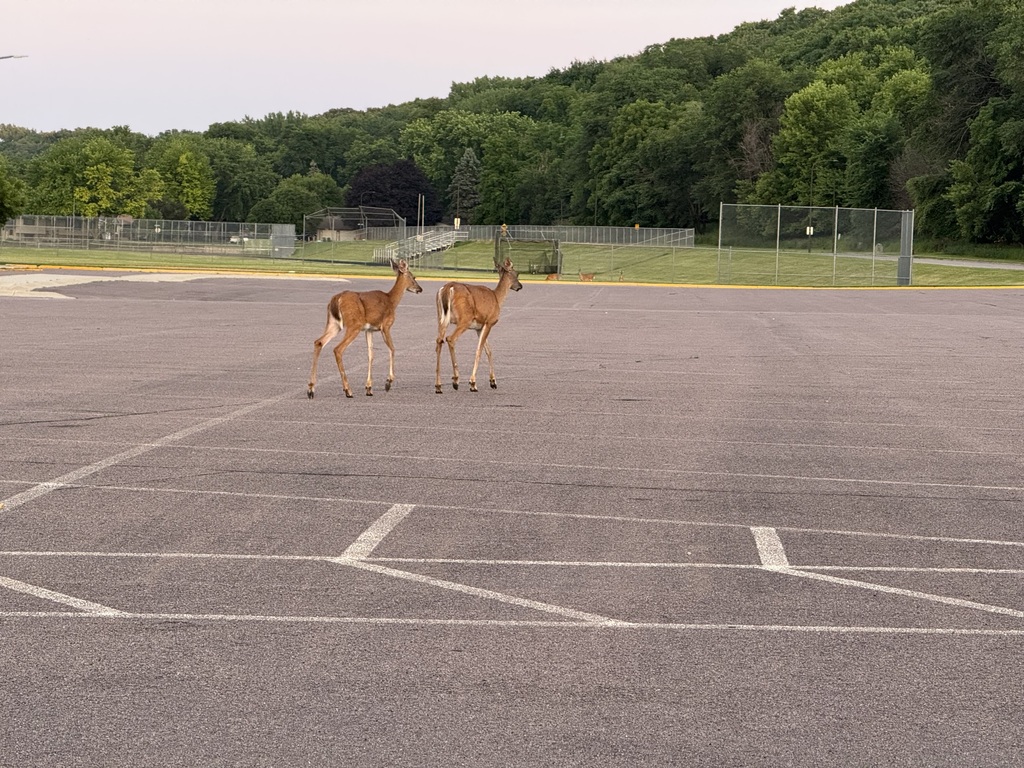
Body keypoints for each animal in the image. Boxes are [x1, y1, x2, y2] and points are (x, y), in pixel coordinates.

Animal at [307, 259, 422, 399]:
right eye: (413, 277)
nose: (420, 289)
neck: (391, 300)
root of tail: (336, 299)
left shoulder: (369, 330)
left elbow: (370, 355)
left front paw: (369, 388)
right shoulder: (386, 326)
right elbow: (392, 349)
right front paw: (388, 383)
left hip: (334, 324)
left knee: (318, 342)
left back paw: (311, 390)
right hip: (353, 325)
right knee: (337, 349)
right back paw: (348, 390)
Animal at [435, 258, 522, 394]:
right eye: (517, 273)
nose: (520, 286)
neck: (497, 298)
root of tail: (448, 288)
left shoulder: (479, 327)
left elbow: (489, 350)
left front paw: (493, 382)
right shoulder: (489, 322)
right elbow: (480, 349)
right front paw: (473, 383)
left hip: (442, 318)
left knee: (439, 340)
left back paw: (438, 386)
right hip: (464, 319)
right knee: (450, 338)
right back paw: (456, 380)